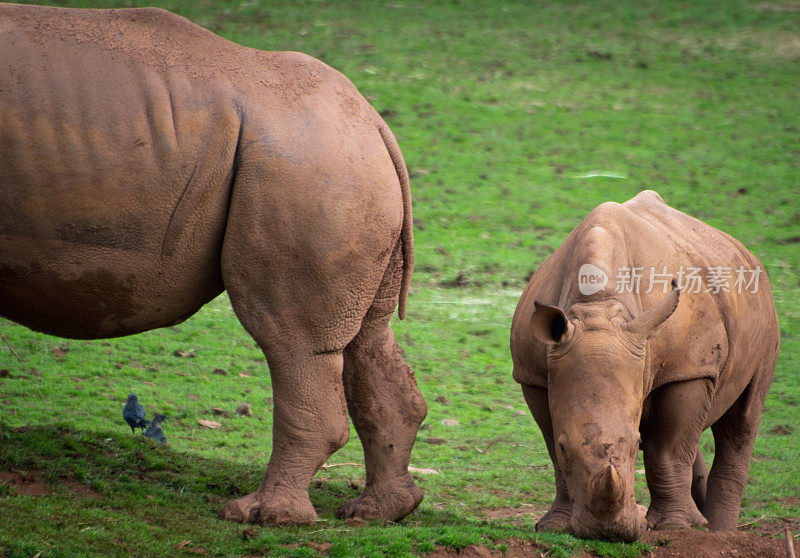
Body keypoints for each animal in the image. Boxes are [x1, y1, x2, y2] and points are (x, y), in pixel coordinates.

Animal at [0, 4, 428, 528]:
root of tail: (375, 124)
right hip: (337, 166)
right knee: (367, 335)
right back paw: (374, 514)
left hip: (305, 167)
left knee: (291, 342)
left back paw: (260, 516)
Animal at [510, 191, 780, 544]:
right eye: (565, 445)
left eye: (634, 443)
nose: (606, 533)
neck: (597, 307)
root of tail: (742, 250)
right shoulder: (534, 375)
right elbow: (555, 453)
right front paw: (555, 526)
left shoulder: (688, 368)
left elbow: (666, 448)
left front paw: (675, 527)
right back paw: (705, 520)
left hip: (762, 308)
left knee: (743, 418)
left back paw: (720, 532)